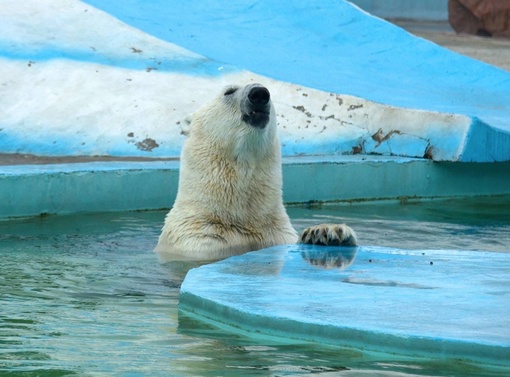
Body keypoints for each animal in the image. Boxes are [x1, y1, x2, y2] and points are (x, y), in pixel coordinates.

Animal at [155, 82, 358, 260]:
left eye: (267, 92)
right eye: (229, 91)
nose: (259, 94)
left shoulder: (278, 236)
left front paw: (328, 232)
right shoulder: (199, 241)